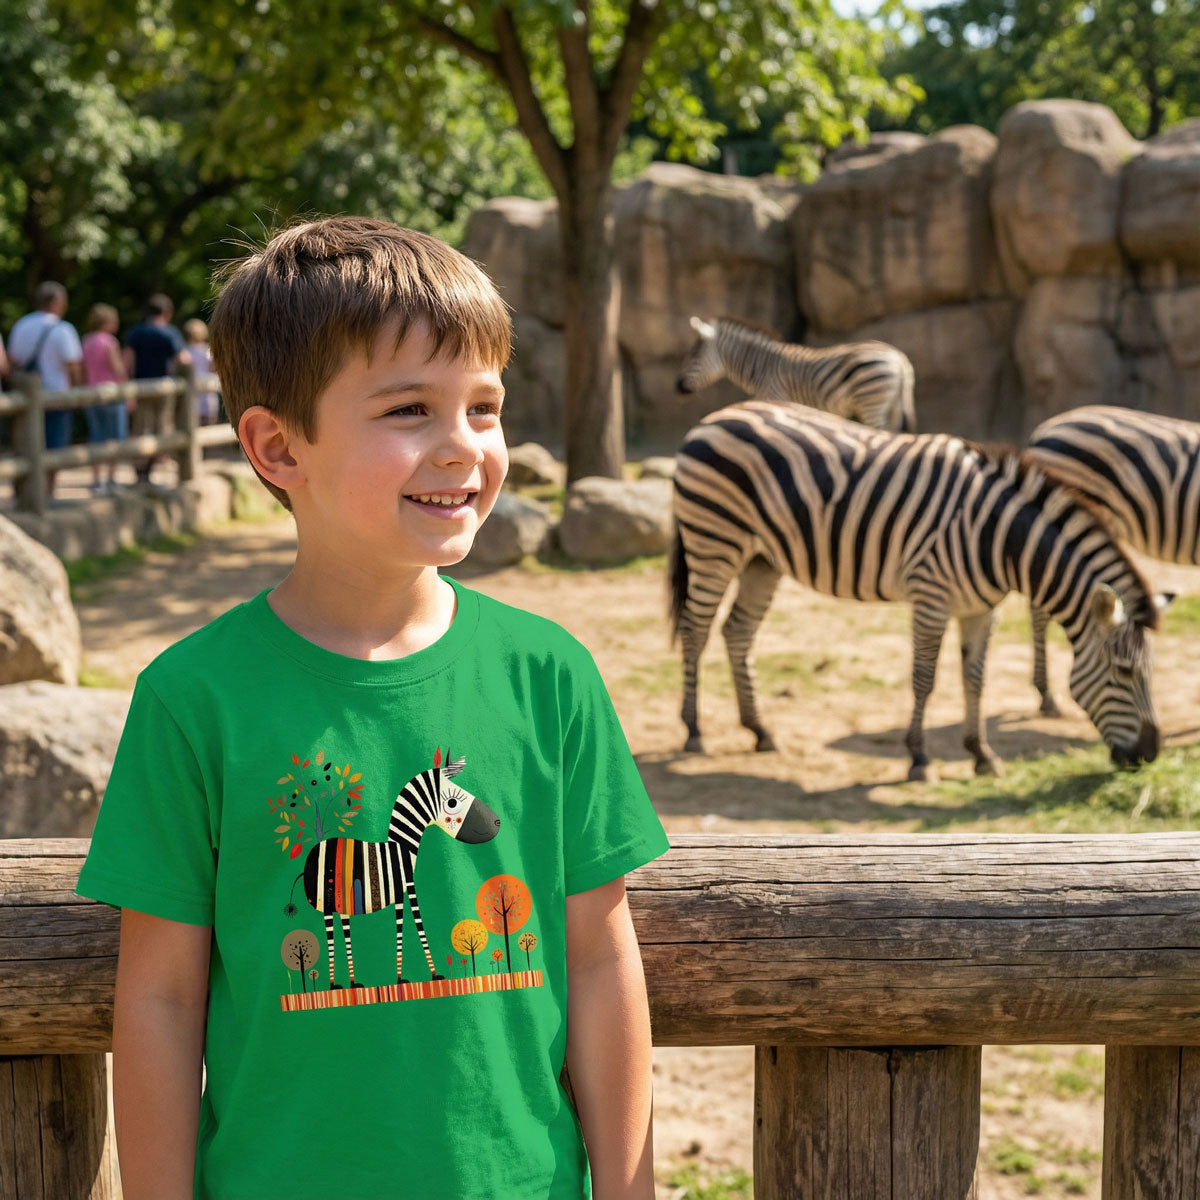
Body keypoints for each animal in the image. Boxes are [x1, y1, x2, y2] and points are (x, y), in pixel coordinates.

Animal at [287, 748, 500, 989]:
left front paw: (401, 978)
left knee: (344, 931)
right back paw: (333, 985)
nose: (497, 822)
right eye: (452, 803)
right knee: (330, 935)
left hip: (341, 902)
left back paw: (352, 983)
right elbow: (417, 922)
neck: (401, 848)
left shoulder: (399, 892)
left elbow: (400, 926)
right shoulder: (409, 885)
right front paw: (432, 975)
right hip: (326, 903)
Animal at [669, 400, 1168, 780]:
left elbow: (975, 679)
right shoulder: (932, 597)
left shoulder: (981, 608)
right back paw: (693, 732)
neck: (999, 539)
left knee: (737, 631)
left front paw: (981, 755)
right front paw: (919, 758)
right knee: (696, 630)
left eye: (1150, 673)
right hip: (713, 541)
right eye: (1124, 672)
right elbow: (924, 679)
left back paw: (759, 730)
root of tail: (716, 415)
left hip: (761, 559)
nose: (1149, 756)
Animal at [675, 315, 916, 432]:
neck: (761, 366)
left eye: (694, 355)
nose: (677, 387)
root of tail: (899, 358)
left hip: (871, 400)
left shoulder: (776, 398)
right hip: (892, 406)